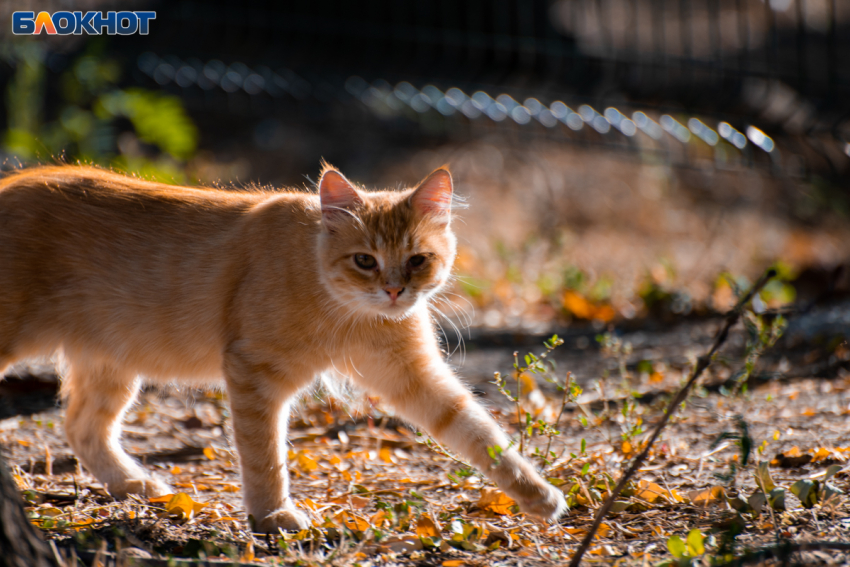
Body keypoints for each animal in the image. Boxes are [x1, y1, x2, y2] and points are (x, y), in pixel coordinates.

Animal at [0, 164, 564, 532]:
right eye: (364, 260)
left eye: (417, 260)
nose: (394, 291)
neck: (346, 312)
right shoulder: (254, 373)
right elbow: (264, 454)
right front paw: (272, 515)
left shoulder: (413, 375)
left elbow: (479, 431)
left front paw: (537, 495)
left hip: (112, 366)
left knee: (81, 426)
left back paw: (135, 484)